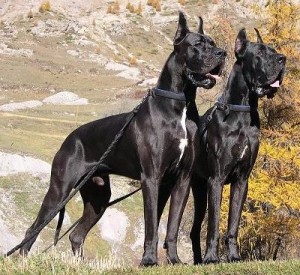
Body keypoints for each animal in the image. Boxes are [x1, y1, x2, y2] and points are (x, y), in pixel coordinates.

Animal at [18, 12, 225, 268]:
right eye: (197, 45)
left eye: (213, 43)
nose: (222, 53)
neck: (181, 104)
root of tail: (69, 138)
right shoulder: (151, 177)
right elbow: (151, 225)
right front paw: (149, 260)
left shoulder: (182, 179)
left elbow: (173, 226)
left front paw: (175, 260)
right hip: (60, 189)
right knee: (33, 229)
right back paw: (23, 261)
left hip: (99, 197)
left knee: (76, 234)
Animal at [190, 28, 286, 266]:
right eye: (259, 53)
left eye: (274, 51)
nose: (283, 59)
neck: (241, 112)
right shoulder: (216, 180)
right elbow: (214, 224)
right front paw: (212, 258)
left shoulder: (242, 180)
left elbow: (233, 222)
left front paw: (234, 256)